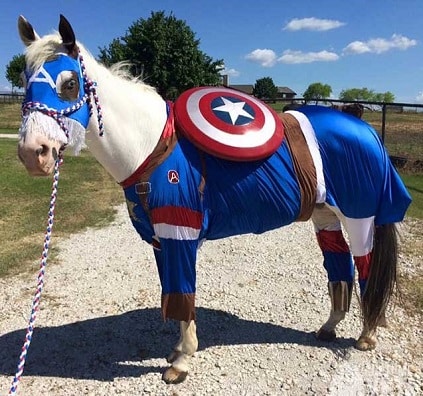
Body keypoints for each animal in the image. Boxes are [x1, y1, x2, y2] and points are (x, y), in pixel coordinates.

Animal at [17, 15, 414, 384]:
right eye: (25, 79)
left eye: (69, 83)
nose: (33, 154)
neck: (154, 146)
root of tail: (364, 128)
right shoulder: (162, 239)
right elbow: (172, 294)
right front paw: (177, 351)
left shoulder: (180, 232)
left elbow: (182, 295)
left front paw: (181, 362)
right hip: (325, 215)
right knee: (339, 267)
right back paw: (329, 327)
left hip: (360, 217)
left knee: (366, 267)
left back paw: (367, 334)